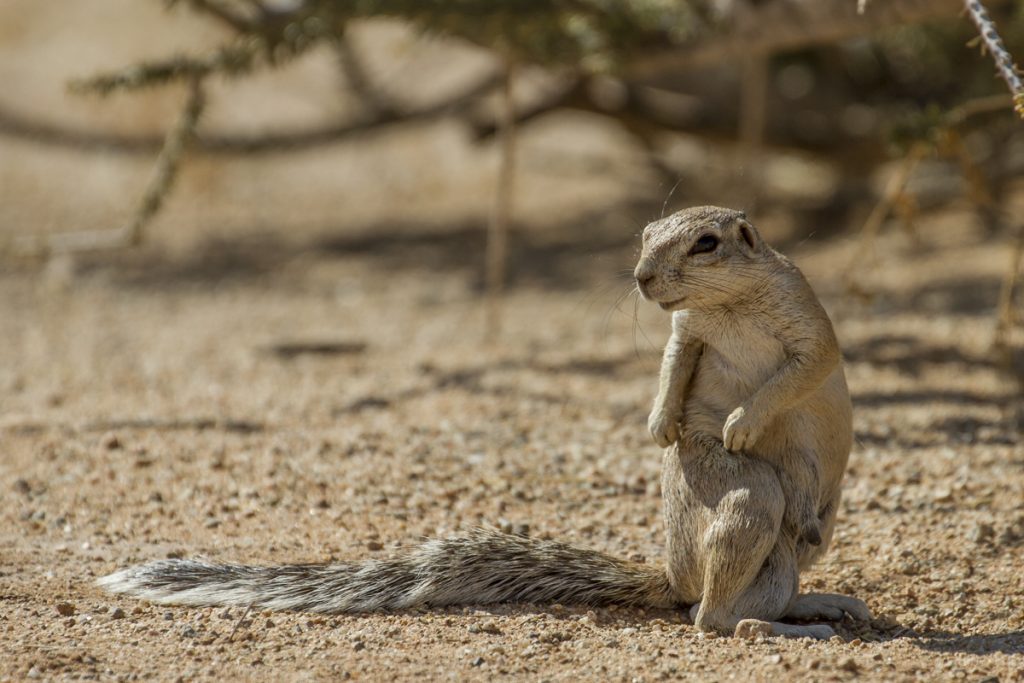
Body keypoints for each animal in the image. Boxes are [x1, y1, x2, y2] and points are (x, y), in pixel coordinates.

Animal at [96, 205, 868, 638]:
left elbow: (798, 372)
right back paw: (787, 628)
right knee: (711, 615)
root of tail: (671, 577)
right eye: (647, 232)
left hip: (791, 540)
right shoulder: (688, 334)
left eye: (707, 243)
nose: (642, 278)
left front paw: (743, 418)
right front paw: (659, 424)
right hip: (745, 501)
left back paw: (817, 607)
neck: (726, 309)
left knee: (744, 596)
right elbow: (674, 367)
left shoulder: (807, 329)